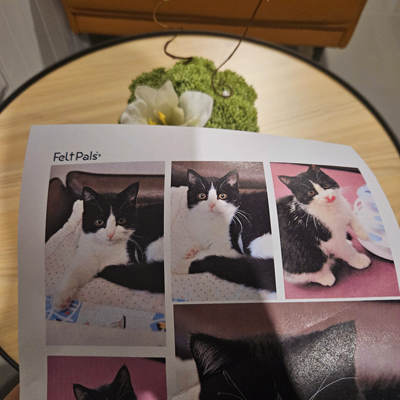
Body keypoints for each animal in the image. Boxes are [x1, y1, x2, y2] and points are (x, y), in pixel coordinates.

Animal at [52, 182, 163, 312]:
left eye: (121, 220)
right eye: (99, 222)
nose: (110, 234)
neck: (105, 248)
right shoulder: (87, 253)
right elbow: (76, 271)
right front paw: (61, 299)